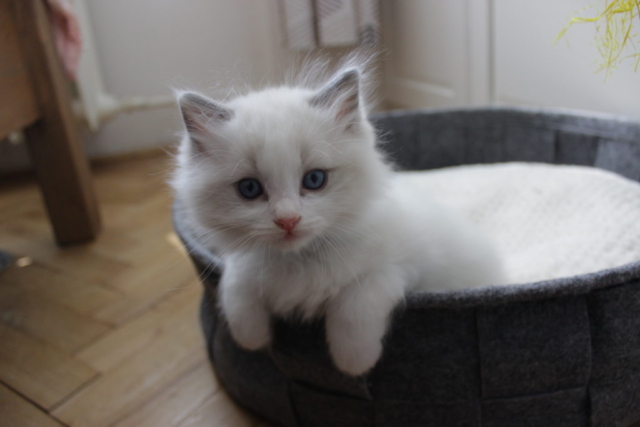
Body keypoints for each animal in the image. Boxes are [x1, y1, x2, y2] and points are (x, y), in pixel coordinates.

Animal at [171, 59, 504, 374]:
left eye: (314, 179)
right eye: (249, 188)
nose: (288, 220)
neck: (302, 261)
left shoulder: (394, 269)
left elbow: (355, 307)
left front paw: (355, 362)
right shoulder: (244, 262)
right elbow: (236, 286)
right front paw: (252, 337)